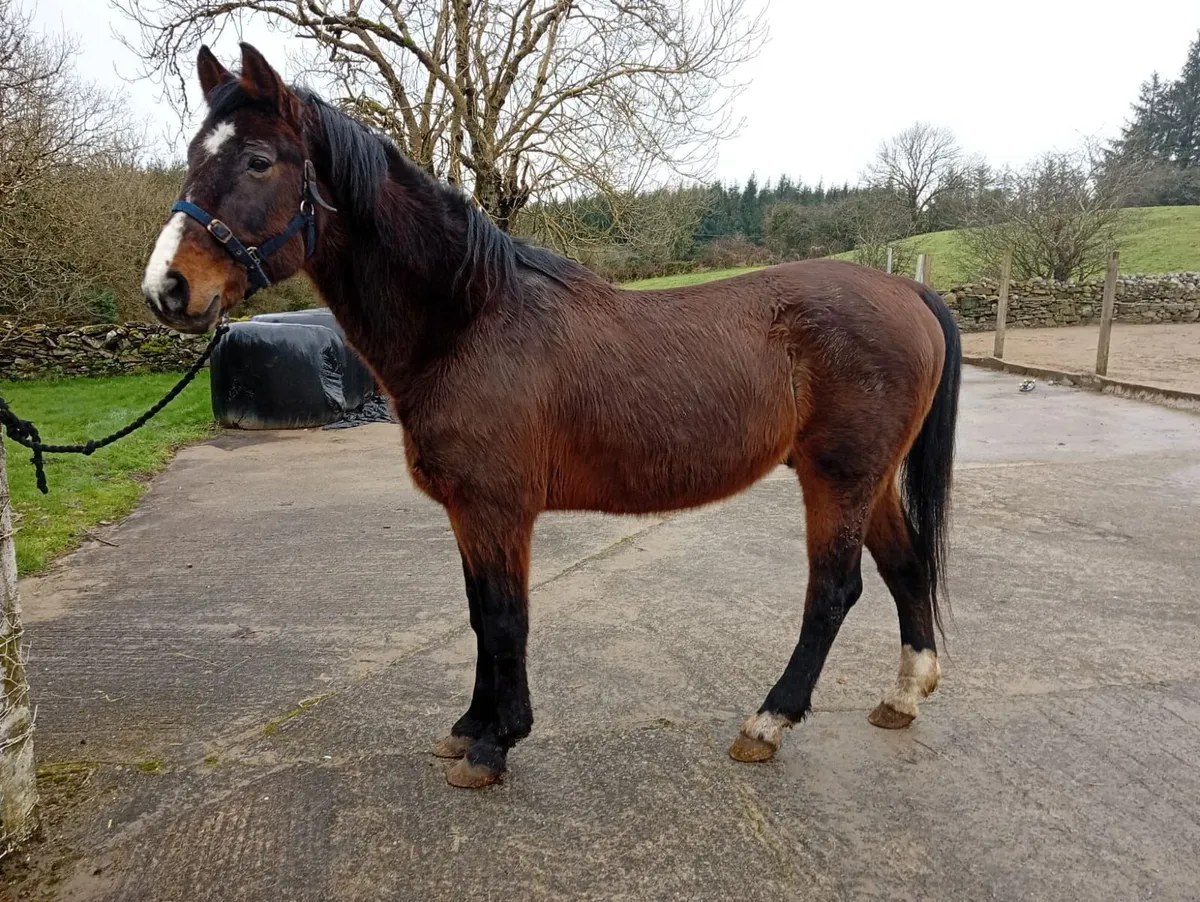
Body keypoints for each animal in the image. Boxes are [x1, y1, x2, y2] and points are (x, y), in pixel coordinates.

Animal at [141, 43, 962, 790]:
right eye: (192, 155)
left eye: (257, 161)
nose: (168, 289)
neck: (472, 320)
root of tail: (908, 292)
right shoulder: (469, 509)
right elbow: (479, 612)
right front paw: (470, 726)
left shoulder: (498, 506)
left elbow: (506, 616)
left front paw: (495, 744)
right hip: (868, 478)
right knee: (904, 564)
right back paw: (902, 696)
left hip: (839, 477)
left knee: (833, 592)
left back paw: (768, 722)